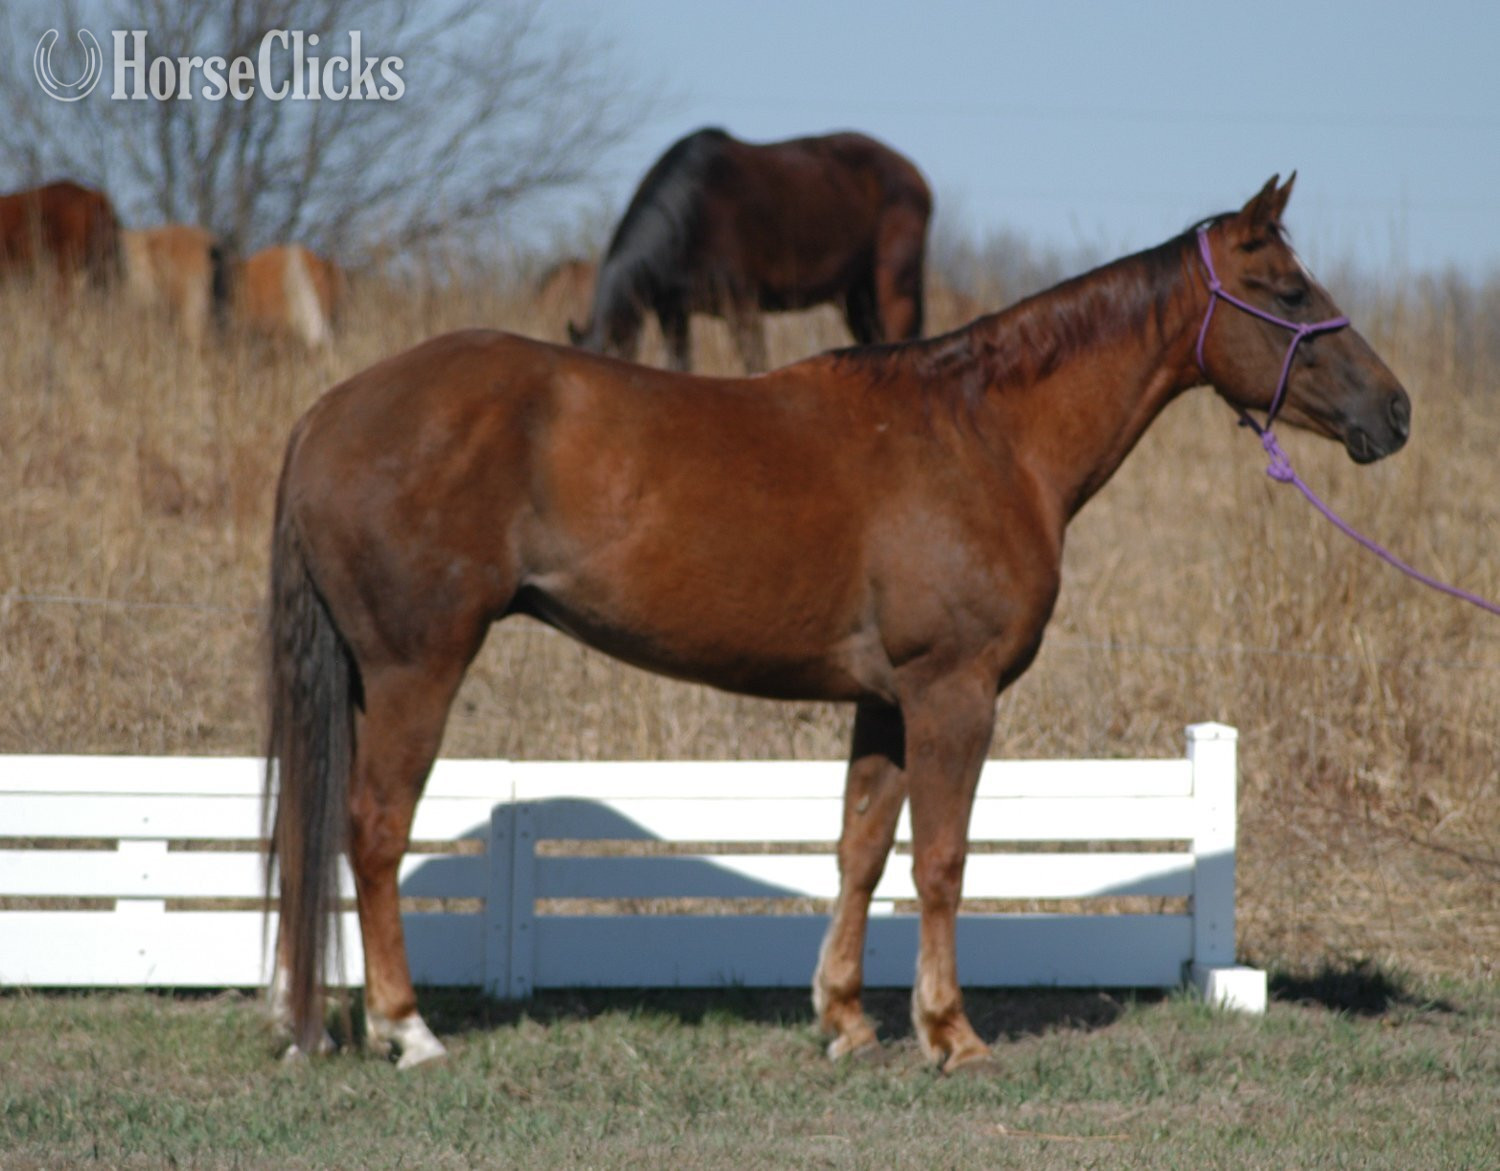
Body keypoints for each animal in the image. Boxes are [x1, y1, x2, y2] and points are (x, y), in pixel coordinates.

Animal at [264, 176, 1410, 1071]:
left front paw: (848, 1020)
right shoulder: (954, 693)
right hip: (416, 667)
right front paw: (951, 1033)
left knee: (314, 828)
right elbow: (940, 858)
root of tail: (329, 410)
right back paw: (407, 1029)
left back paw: (297, 1017)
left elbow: (860, 847)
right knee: (372, 827)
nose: (1393, 411)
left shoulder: (887, 703)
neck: (986, 435)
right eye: (1287, 291)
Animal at [567, 127, 932, 372]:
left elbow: (755, 366)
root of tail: (913, 173)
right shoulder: (673, 315)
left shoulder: (742, 308)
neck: (691, 210)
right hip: (856, 298)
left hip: (893, 288)